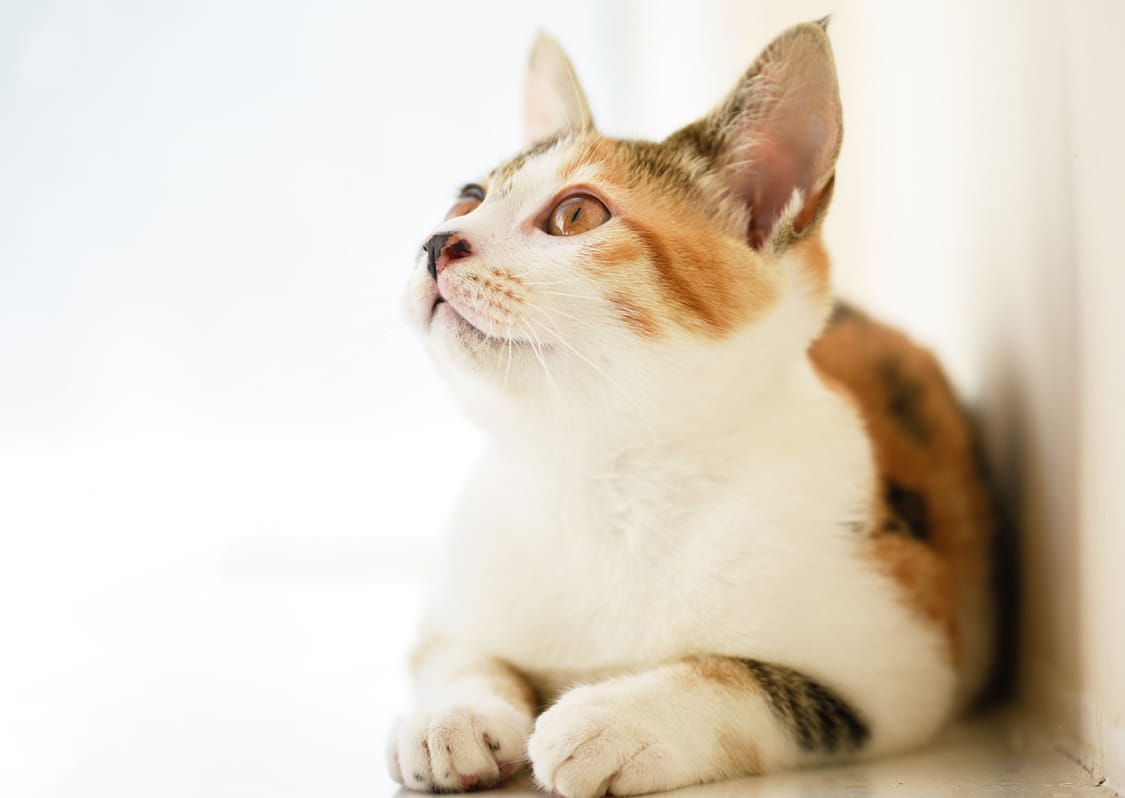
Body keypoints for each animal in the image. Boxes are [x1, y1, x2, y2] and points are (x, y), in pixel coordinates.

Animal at [387, 18, 994, 796]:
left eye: (575, 214)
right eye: (466, 198)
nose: (436, 242)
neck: (602, 474)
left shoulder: (909, 655)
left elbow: (757, 682)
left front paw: (615, 718)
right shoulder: (452, 596)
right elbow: (453, 650)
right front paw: (453, 714)